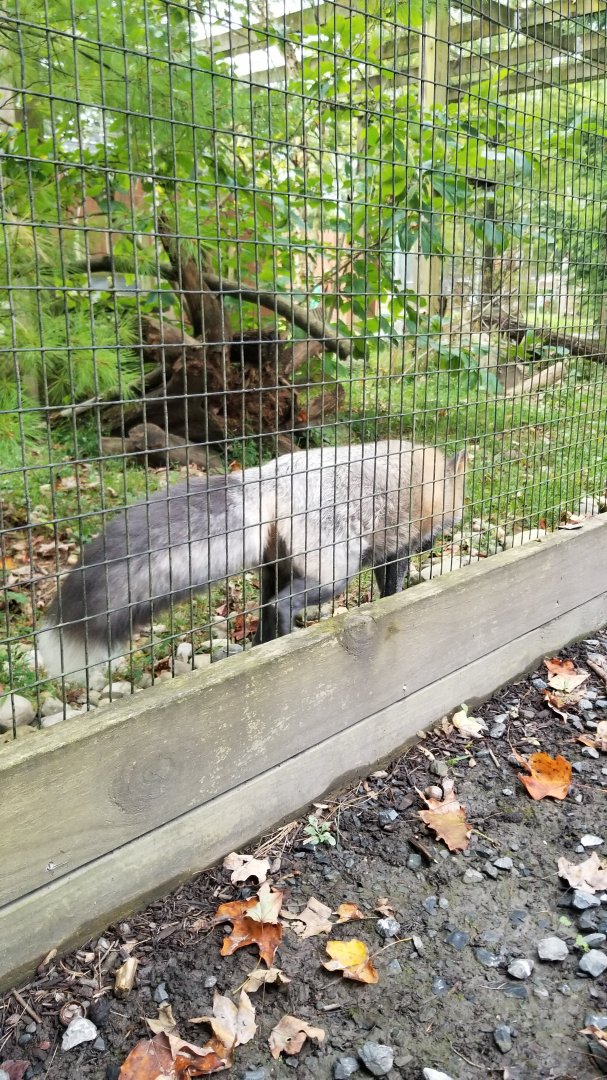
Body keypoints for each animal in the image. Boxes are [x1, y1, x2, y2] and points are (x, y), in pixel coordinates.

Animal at [38, 439, 466, 681]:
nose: (431, 546)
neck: (432, 481)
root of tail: (265, 476)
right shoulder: (397, 549)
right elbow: (393, 587)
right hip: (333, 576)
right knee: (282, 605)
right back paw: (290, 645)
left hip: (275, 570)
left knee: (266, 613)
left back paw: (264, 649)